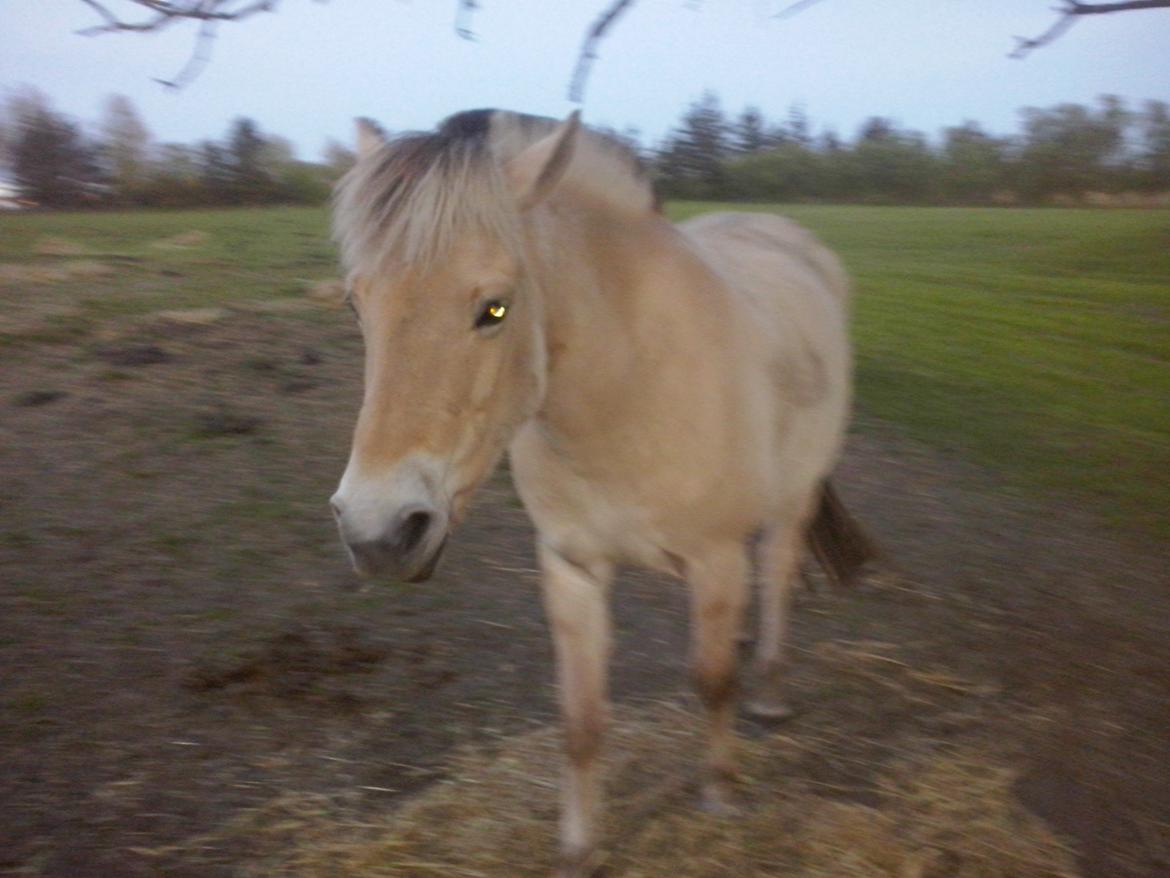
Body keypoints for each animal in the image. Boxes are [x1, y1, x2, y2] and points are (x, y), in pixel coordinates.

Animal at [325, 110, 875, 878]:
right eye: (356, 304)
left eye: (495, 308)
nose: (379, 532)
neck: (627, 387)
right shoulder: (571, 567)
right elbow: (581, 721)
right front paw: (579, 848)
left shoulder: (713, 558)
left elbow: (711, 680)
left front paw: (721, 793)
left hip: (791, 503)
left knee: (776, 577)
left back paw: (766, 689)